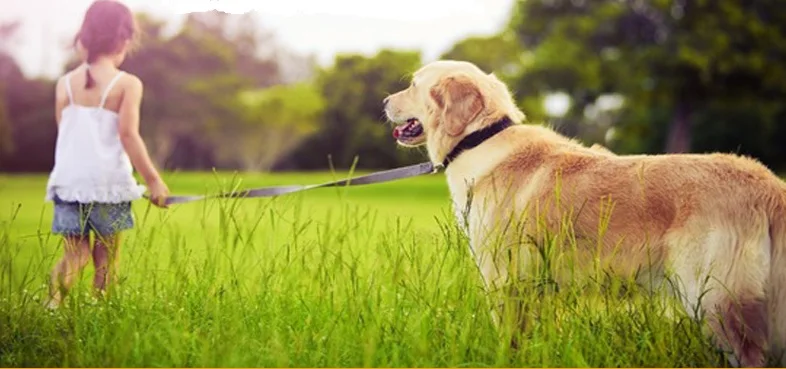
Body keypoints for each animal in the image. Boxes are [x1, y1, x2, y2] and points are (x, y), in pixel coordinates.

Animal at [382, 60, 784, 366]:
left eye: (414, 85)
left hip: (717, 300)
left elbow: (508, 339)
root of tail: (768, 183)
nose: (384, 100)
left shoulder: (504, 278)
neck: (479, 138)